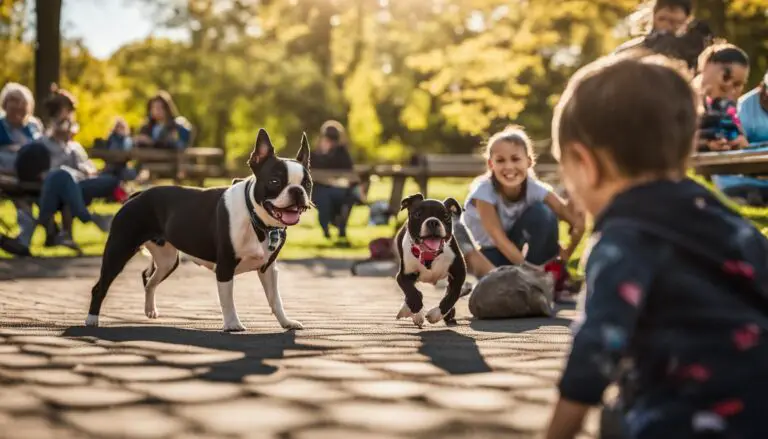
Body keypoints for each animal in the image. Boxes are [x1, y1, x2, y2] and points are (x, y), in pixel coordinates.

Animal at [85, 129, 312, 332]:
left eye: (307, 183)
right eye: (275, 181)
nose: (297, 191)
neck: (256, 220)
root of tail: (137, 195)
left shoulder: (268, 268)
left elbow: (275, 299)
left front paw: (286, 322)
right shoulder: (225, 266)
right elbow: (227, 299)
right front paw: (232, 324)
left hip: (168, 260)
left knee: (149, 281)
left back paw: (150, 310)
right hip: (119, 250)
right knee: (100, 287)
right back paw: (92, 320)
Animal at [396, 194, 468, 328]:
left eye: (446, 216)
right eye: (418, 214)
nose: (433, 222)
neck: (430, 255)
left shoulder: (459, 275)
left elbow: (452, 295)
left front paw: (436, 315)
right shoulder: (403, 275)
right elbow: (412, 292)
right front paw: (417, 310)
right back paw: (409, 311)